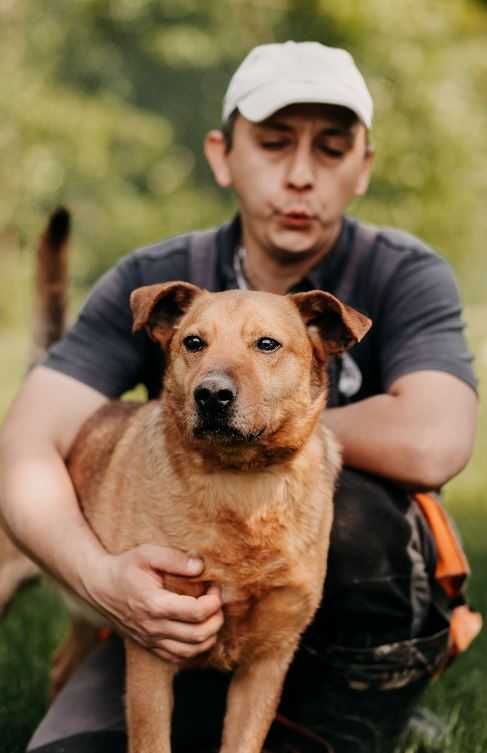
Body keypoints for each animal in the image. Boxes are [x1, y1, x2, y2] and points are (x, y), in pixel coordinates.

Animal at [62, 282, 374, 752]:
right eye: (194, 342)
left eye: (267, 344)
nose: (211, 395)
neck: (241, 484)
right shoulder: (151, 651)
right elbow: (152, 740)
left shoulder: (268, 660)